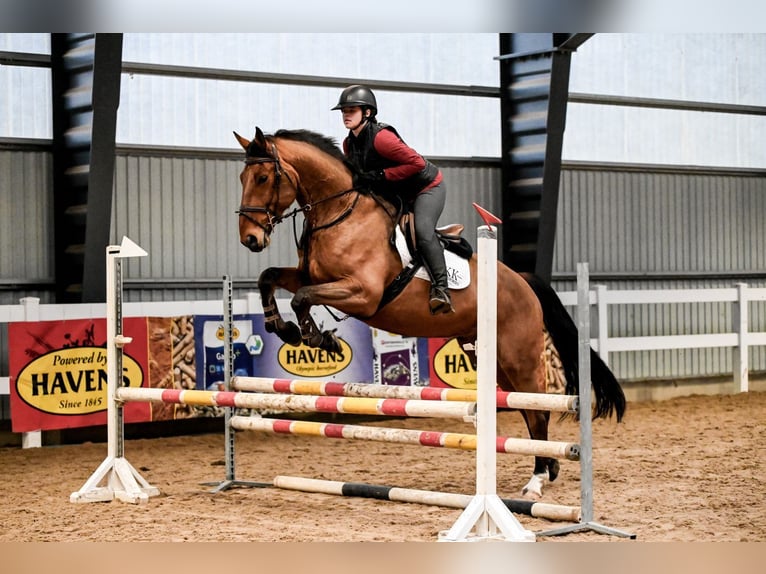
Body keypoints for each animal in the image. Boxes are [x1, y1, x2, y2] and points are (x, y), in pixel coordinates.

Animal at [234, 126, 625, 500]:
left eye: (263, 178)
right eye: (243, 178)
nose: (250, 239)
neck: (340, 213)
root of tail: (523, 280)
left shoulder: (363, 293)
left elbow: (301, 298)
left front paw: (316, 337)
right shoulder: (312, 276)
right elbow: (270, 278)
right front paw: (280, 326)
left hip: (520, 356)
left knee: (537, 407)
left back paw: (538, 479)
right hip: (493, 358)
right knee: (526, 408)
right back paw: (547, 469)